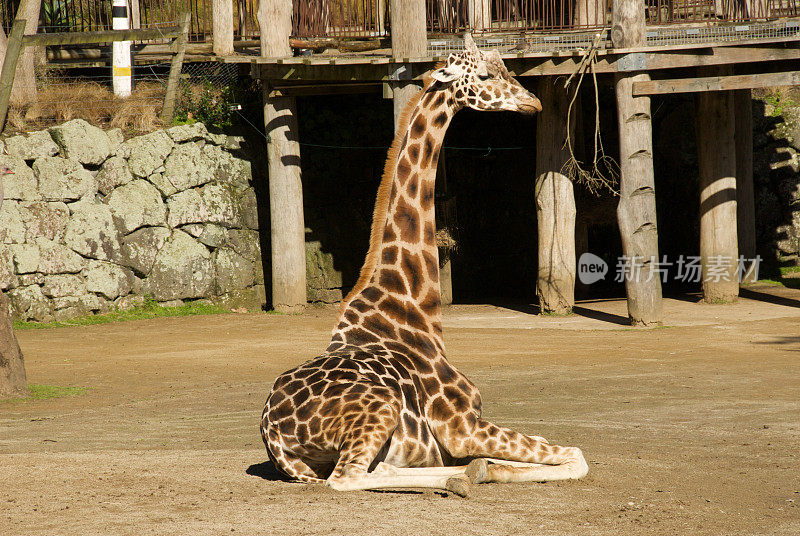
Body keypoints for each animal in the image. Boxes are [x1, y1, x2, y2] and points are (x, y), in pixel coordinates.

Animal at [262, 33, 588, 496]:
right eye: (484, 75)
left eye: (506, 66)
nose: (532, 102)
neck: (415, 308)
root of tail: (273, 435)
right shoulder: (462, 427)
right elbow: (577, 456)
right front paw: (481, 470)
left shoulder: (465, 430)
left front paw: (487, 468)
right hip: (377, 411)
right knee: (350, 477)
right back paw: (462, 478)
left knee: (377, 469)